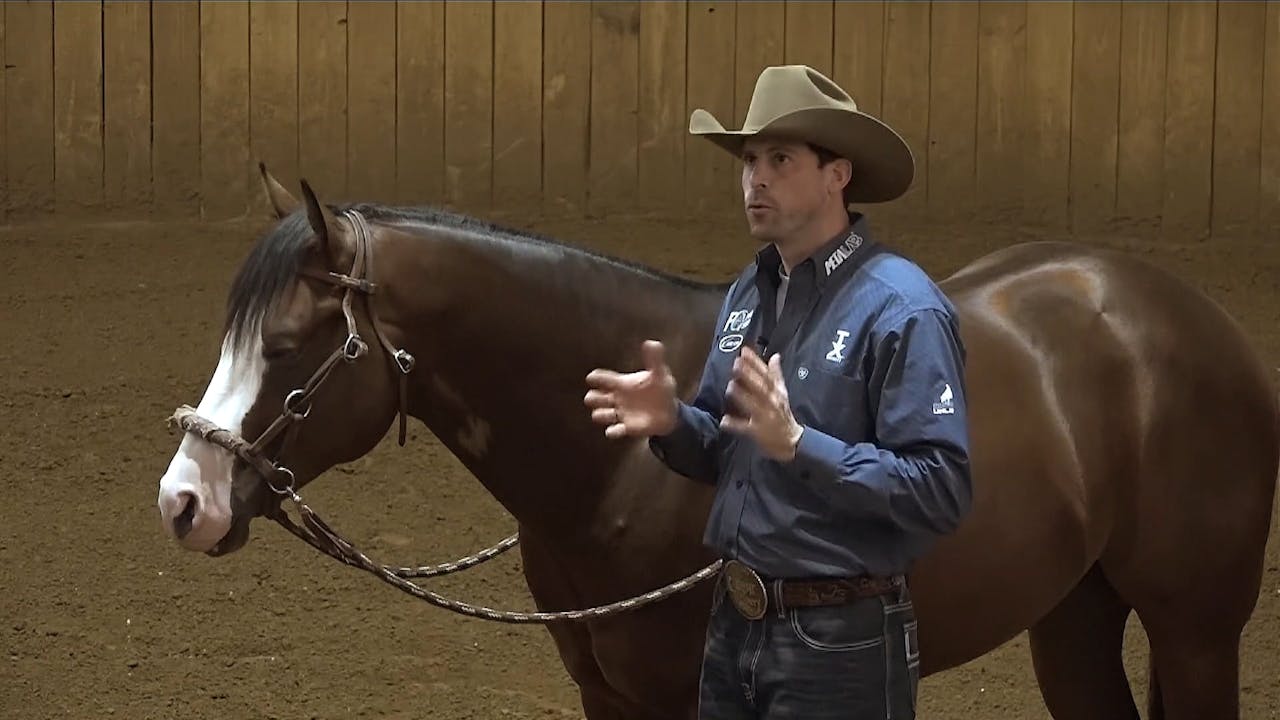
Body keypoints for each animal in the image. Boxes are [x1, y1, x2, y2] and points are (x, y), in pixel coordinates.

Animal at [156, 165, 1278, 720]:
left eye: (289, 347)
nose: (183, 500)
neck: (614, 469)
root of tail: (1190, 319)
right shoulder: (606, 694)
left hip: (1194, 630)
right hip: (1073, 617)